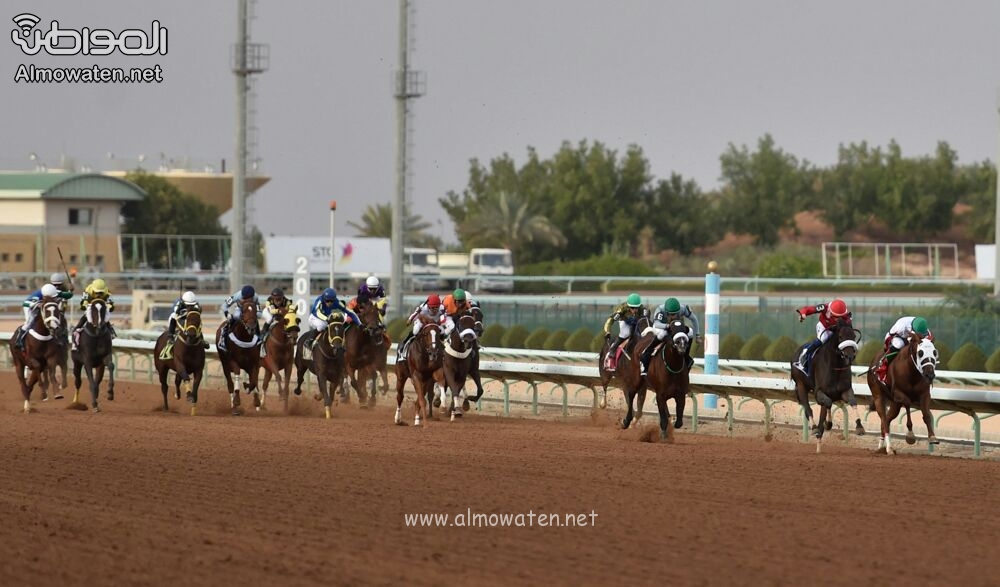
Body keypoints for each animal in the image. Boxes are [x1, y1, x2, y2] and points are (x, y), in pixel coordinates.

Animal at [792, 320, 864, 452]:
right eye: (840, 336)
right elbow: (828, 404)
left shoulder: (845, 390)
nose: (850, 356)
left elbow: (853, 402)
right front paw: (825, 425)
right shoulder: (819, 392)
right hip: (800, 385)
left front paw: (859, 426)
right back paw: (815, 428)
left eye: (853, 336)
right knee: (807, 407)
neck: (835, 366)